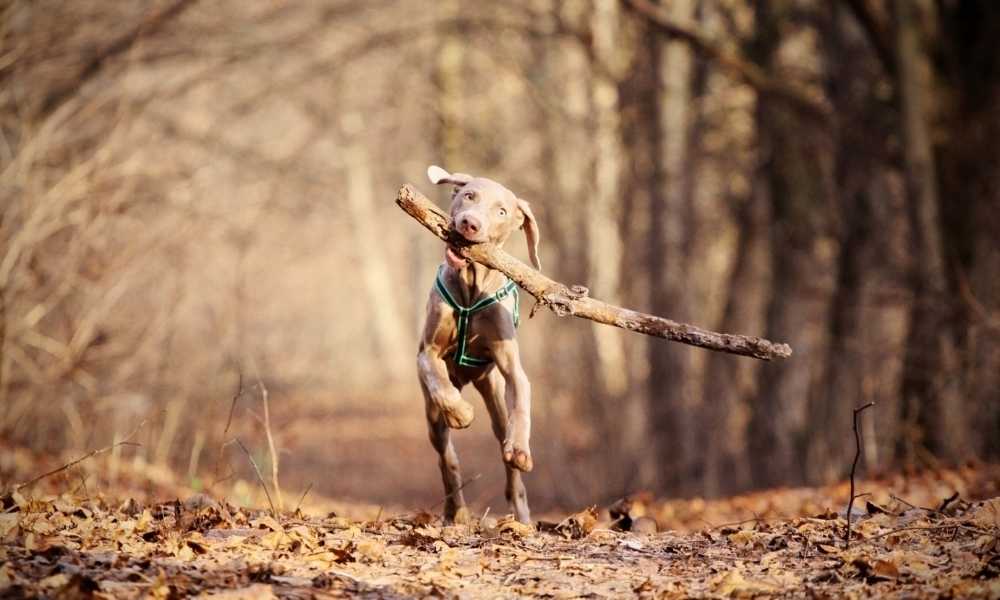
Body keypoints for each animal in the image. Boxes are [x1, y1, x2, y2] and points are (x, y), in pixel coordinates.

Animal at [414, 165, 540, 524]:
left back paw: (520, 513)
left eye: (502, 212)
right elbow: (436, 377)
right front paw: (461, 412)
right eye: (469, 195)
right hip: (432, 419)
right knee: (446, 459)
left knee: (506, 458)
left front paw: (521, 448)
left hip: (494, 393)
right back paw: (454, 511)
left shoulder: (510, 366)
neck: (471, 286)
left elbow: (521, 394)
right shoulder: (426, 352)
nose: (470, 223)